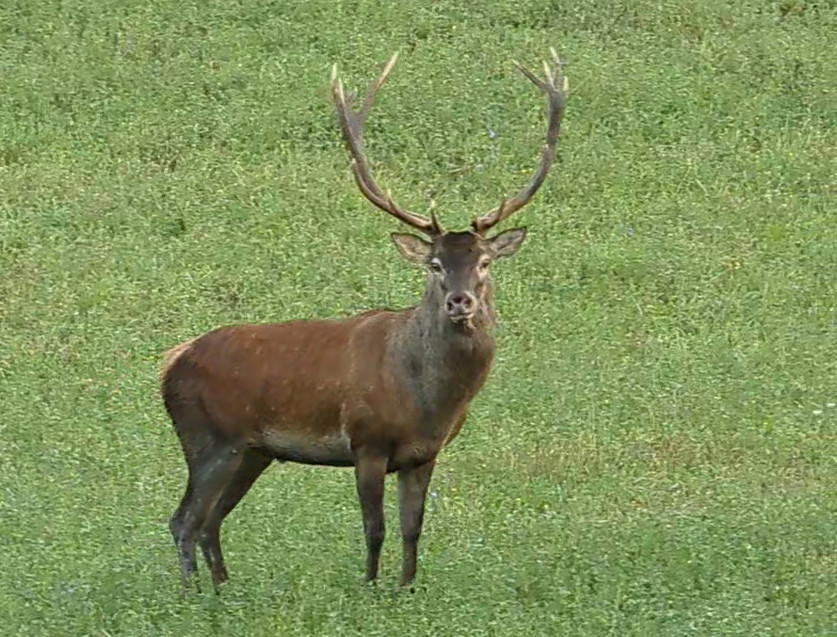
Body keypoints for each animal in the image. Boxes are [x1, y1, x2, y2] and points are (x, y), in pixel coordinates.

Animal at [160, 49, 567, 594]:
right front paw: (371, 590)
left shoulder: (424, 453)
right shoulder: (366, 441)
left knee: (210, 520)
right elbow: (374, 528)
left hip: (252, 450)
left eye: (483, 261)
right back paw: (191, 597)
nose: (460, 302)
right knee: (184, 519)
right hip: (207, 436)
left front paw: (406, 589)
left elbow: (413, 529)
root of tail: (169, 363)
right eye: (434, 264)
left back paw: (224, 592)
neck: (427, 397)